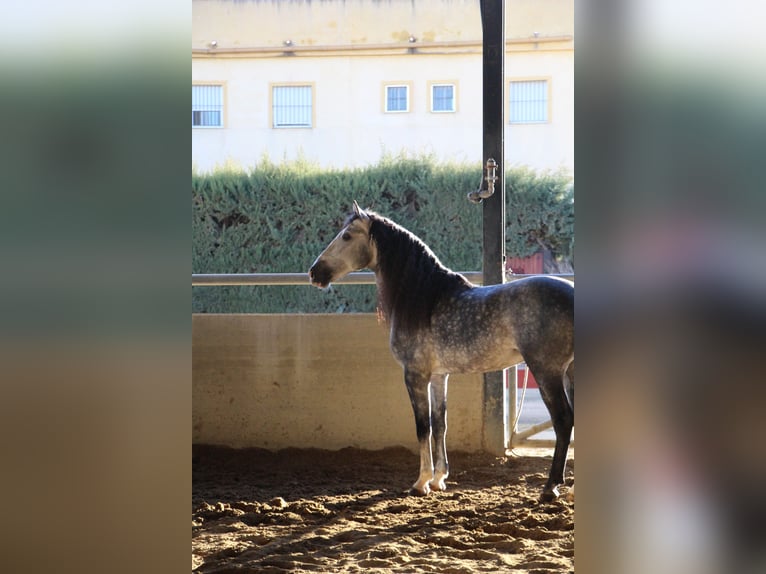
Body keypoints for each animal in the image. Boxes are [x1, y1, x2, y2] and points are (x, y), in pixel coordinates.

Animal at [308, 204, 572, 504]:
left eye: (347, 236)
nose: (314, 272)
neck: (426, 299)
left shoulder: (415, 375)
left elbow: (423, 426)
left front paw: (420, 482)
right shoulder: (438, 376)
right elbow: (440, 424)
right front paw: (438, 479)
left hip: (547, 372)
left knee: (563, 421)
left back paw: (550, 487)